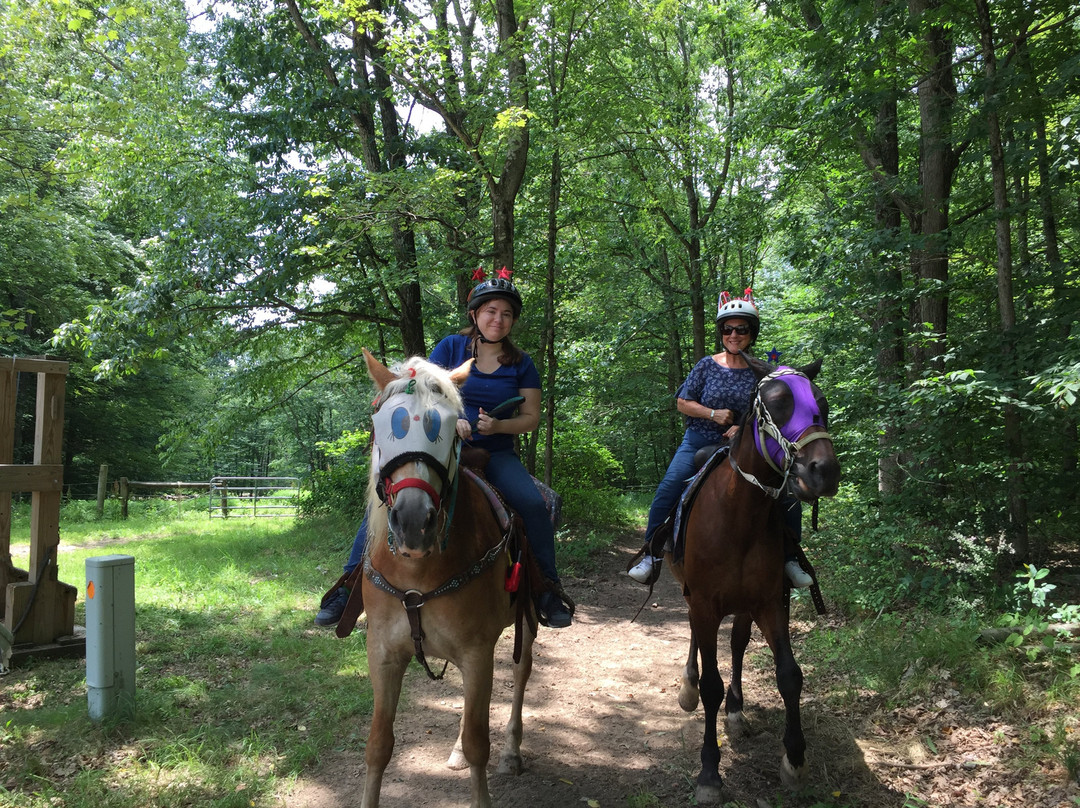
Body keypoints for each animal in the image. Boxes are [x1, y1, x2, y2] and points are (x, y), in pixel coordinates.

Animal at [358, 349, 535, 808]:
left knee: (521, 673)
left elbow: (479, 743)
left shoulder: (477, 651)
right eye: (385, 423)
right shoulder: (382, 653)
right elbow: (378, 745)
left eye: (450, 427)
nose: (413, 523)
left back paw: (512, 751)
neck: (417, 573)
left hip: (526, 620)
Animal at [665, 354, 842, 803]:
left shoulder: (769, 601)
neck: (738, 517)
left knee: (738, 644)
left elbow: (790, 676)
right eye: (777, 404)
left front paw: (794, 760)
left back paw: (736, 710)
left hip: (744, 606)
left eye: (822, 403)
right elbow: (710, 682)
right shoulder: (705, 603)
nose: (824, 471)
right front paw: (709, 773)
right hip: (693, 596)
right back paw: (689, 687)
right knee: (696, 637)